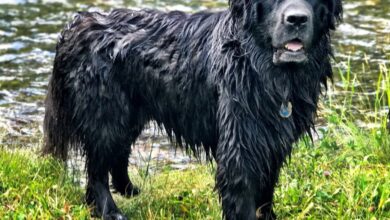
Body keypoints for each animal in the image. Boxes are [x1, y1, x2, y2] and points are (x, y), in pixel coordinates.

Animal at [42, 0, 342, 218]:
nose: (297, 19)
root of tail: (77, 25)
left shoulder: (273, 138)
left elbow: (266, 189)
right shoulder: (241, 139)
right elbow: (244, 191)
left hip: (130, 111)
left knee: (118, 152)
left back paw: (129, 189)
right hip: (105, 111)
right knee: (97, 169)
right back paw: (108, 211)